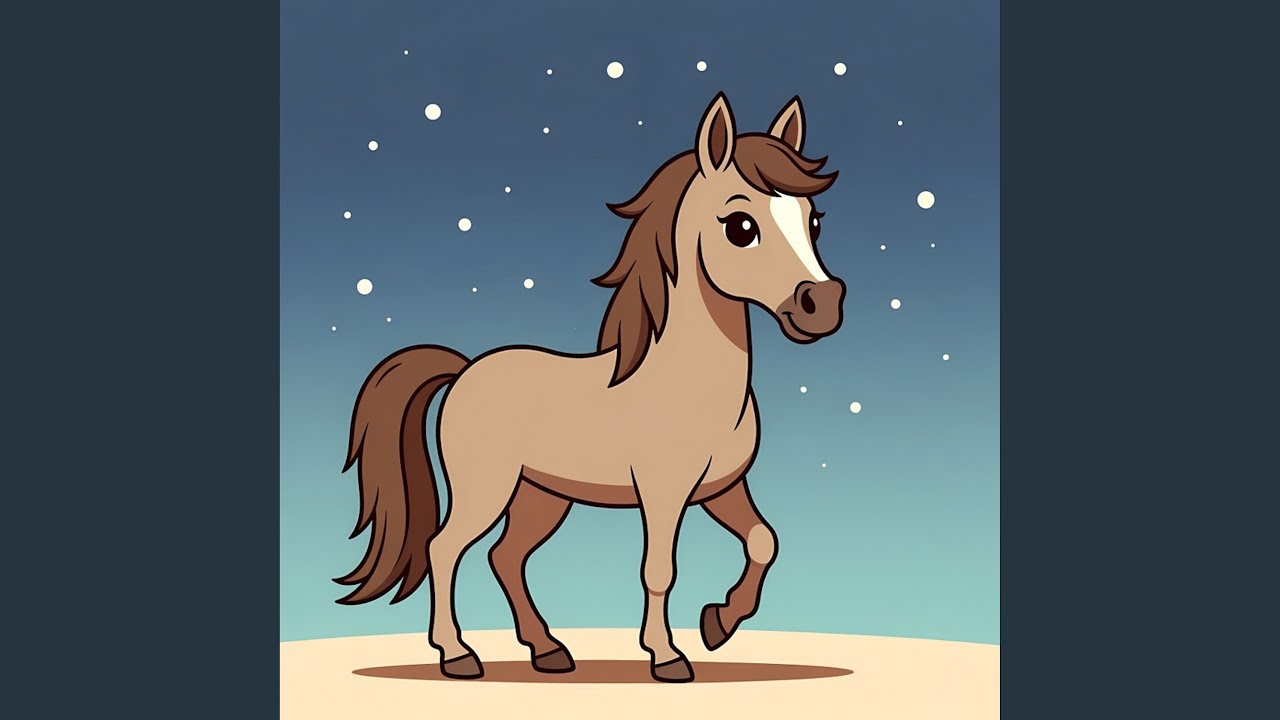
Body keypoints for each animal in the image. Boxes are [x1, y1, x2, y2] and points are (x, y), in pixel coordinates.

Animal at [335, 92, 845, 683]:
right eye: (740, 226)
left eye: (814, 220)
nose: (822, 304)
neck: (691, 383)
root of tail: (464, 371)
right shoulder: (664, 493)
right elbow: (659, 569)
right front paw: (668, 656)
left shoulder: (722, 488)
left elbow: (764, 541)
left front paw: (718, 624)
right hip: (487, 490)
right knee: (445, 549)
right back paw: (458, 655)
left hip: (541, 495)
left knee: (505, 556)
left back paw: (548, 651)